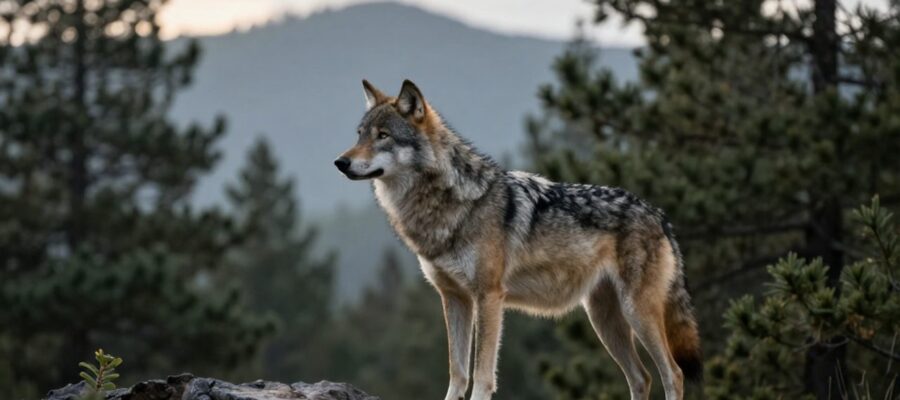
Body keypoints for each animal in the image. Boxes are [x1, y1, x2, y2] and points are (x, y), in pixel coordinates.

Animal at [334, 80, 702, 400]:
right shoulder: (454, 298)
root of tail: (658, 213)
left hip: (636, 312)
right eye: (360, 134)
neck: (451, 204)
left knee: (672, 373)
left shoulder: (488, 297)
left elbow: (481, 374)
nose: (340, 162)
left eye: (383, 136)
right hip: (604, 320)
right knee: (642, 377)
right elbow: (457, 372)